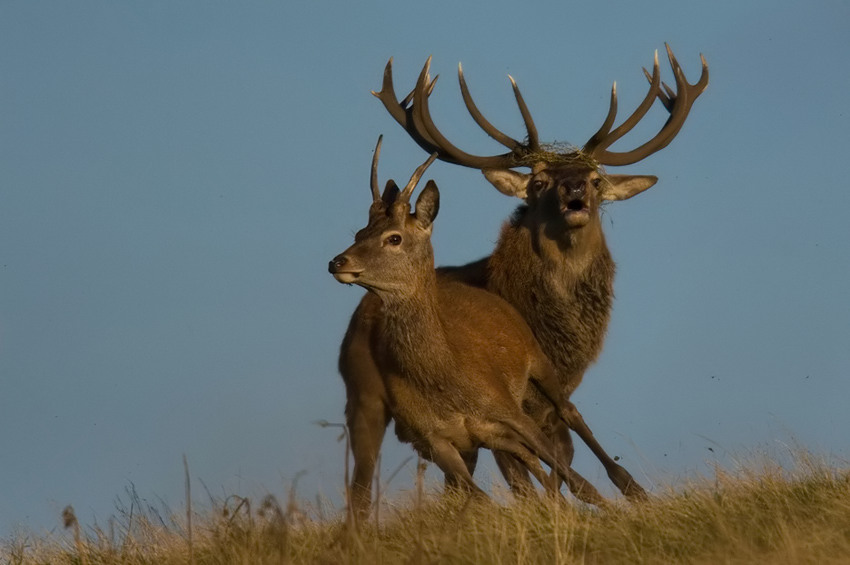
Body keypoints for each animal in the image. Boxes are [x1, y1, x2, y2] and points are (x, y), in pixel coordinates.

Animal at [326, 140, 604, 506]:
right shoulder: (436, 439)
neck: (446, 381)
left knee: (569, 413)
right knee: (360, 489)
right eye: (359, 232)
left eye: (394, 238)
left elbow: (576, 479)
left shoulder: (508, 411)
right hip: (364, 400)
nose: (336, 262)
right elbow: (481, 498)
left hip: (536, 361)